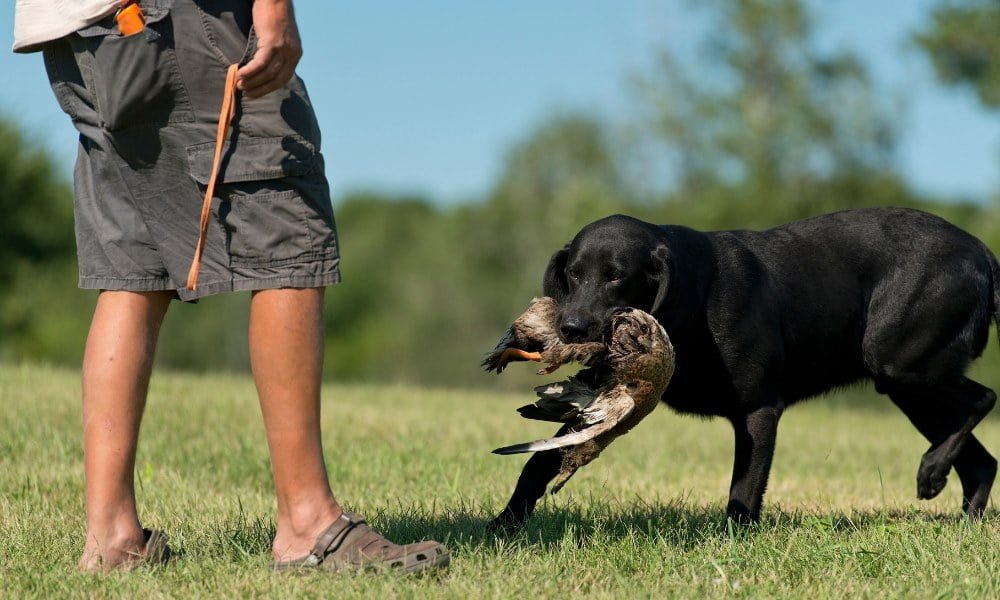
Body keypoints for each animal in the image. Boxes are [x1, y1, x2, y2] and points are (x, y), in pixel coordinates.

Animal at [490, 207, 992, 536]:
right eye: (573, 274)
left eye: (616, 276)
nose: (571, 327)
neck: (694, 302)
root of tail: (983, 252)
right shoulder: (602, 397)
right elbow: (539, 460)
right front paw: (504, 525)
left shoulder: (759, 411)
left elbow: (745, 486)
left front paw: (732, 540)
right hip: (909, 388)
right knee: (984, 461)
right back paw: (961, 517)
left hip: (902, 365)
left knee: (984, 400)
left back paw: (932, 471)